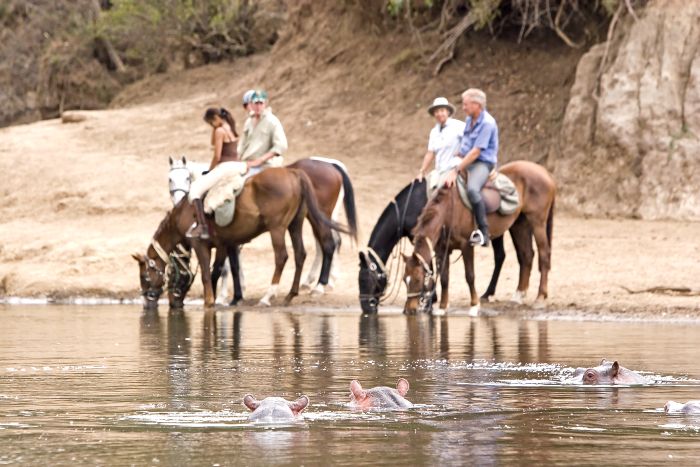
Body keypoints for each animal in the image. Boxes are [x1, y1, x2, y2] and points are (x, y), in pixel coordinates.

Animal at [133, 166, 346, 308]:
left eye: (144, 275)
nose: (147, 301)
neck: (183, 213)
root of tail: (294, 172)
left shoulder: (200, 244)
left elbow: (206, 274)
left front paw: (209, 301)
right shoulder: (223, 244)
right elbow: (221, 270)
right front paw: (223, 297)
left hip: (277, 227)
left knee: (282, 257)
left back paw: (268, 296)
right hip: (295, 224)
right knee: (300, 254)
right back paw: (290, 294)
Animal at [360, 179, 520, 314]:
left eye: (367, 279)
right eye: (359, 278)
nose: (366, 307)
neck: (410, 205)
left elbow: (429, 268)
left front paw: (429, 300)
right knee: (501, 255)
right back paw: (489, 293)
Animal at [402, 159, 556, 316]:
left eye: (418, 279)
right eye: (404, 280)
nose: (408, 310)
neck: (448, 210)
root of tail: (544, 172)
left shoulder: (466, 246)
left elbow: (470, 275)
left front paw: (474, 305)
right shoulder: (442, 250)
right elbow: (444, 278)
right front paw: (443, 307)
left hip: (537, 223)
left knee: (544, 255)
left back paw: (540, 297)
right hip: (520, 224)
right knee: (526, 255)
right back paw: (519, 295)